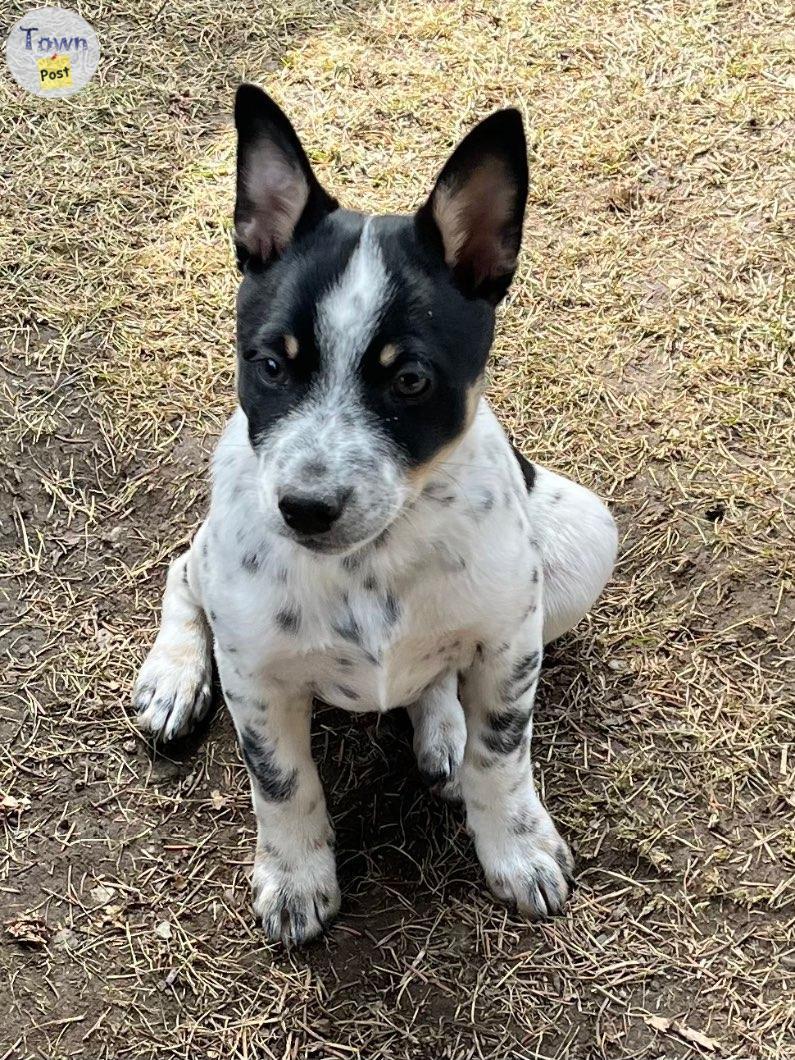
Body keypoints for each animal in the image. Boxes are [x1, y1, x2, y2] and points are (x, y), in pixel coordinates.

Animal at [130, 82, 619, 945]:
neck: (371, 562)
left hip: (580, 539)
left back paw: (441, 726)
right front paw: (295, 877)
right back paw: (174, 675)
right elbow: (282, 782)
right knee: (183, 568)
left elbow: (502, 755)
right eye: (269, 365)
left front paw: (516, 846)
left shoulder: (509, 644)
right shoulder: (257, 676)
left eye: (410, 381)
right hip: (218, 550)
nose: (303, 509)